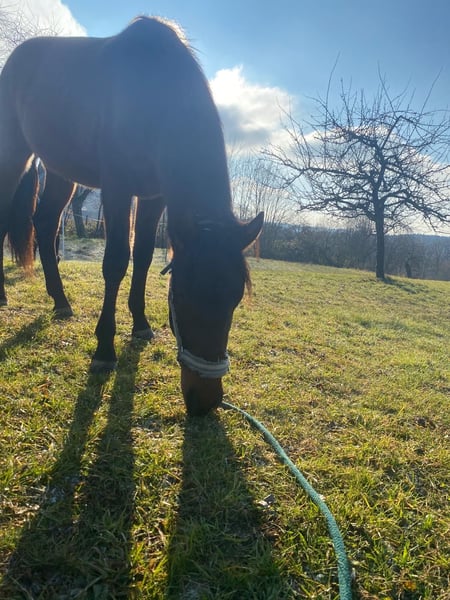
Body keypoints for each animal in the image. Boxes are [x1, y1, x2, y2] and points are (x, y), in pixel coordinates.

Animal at [0, 16, 263, 416]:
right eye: (182, 297)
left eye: (234, 300)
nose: (205, 401)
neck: (151, 95)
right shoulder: (117, 187)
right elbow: (116, 262)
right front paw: (105, 348)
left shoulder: (154, 196)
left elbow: (141, 258)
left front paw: (139, 324)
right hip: (14, 153)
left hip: (62, 171)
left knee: (45, 224)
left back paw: (60, 302)